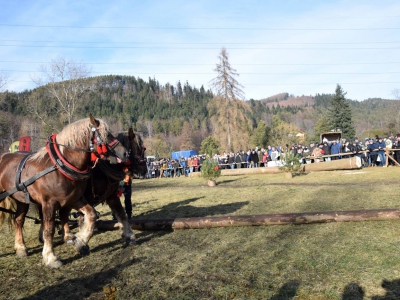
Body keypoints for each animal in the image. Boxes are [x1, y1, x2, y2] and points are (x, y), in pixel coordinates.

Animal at [0, 115, 127, 268]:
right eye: (106, 134)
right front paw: (50, 257)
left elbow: (91, 215)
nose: (125, 152)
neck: (61, 166)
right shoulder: (48, 204)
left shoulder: (75, 199)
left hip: (22, 200)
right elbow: (49, 229)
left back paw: (21, 248)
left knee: (18, 221)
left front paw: (80, 241)